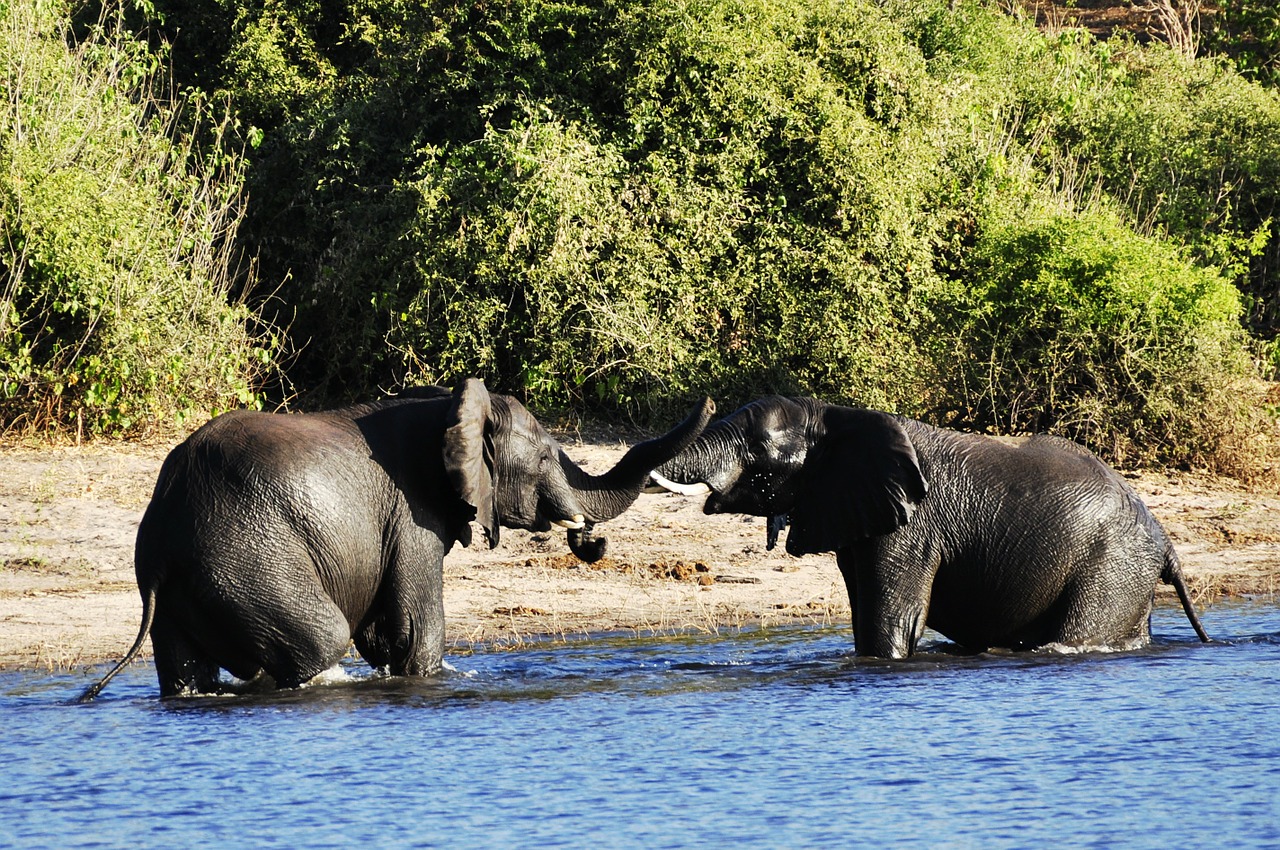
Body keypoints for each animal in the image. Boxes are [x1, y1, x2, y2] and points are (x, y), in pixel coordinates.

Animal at [81, 381, 716, 701]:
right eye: (542, 459)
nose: (591, 541)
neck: (447, 407)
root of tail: (162, 536)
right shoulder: (412, 516)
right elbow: (411, 633)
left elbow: (386, 637)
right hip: (245, 559)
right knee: (320, 641)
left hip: (188, 584)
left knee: (187, 672)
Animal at [650, 396, 1208, 655]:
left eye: (760, 448)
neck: (835, 417)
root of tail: (1165, 541)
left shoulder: (911, 529)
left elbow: (891, 621)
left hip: (1112, 568)